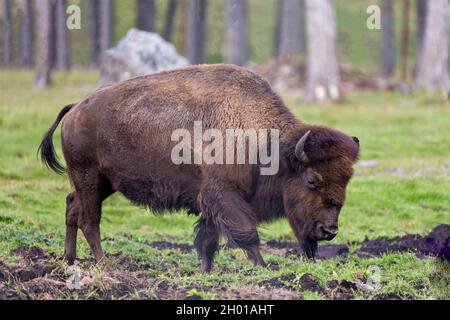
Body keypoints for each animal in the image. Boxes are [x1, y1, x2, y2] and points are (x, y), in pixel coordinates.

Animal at [40, 64, 360, 272]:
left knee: (72, 206)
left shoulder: (210, 200)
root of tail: (75, 107)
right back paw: (103, 262)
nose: (329, 230)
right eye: (312, 180)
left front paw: (205, 271)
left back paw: (68, 259)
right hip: (90, 177)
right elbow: (246, 233)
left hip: (103, 182)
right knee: (89, 220)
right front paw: (264, 268)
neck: (269, 144)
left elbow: (208, 239)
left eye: (346, 180)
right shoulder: (225, 195)